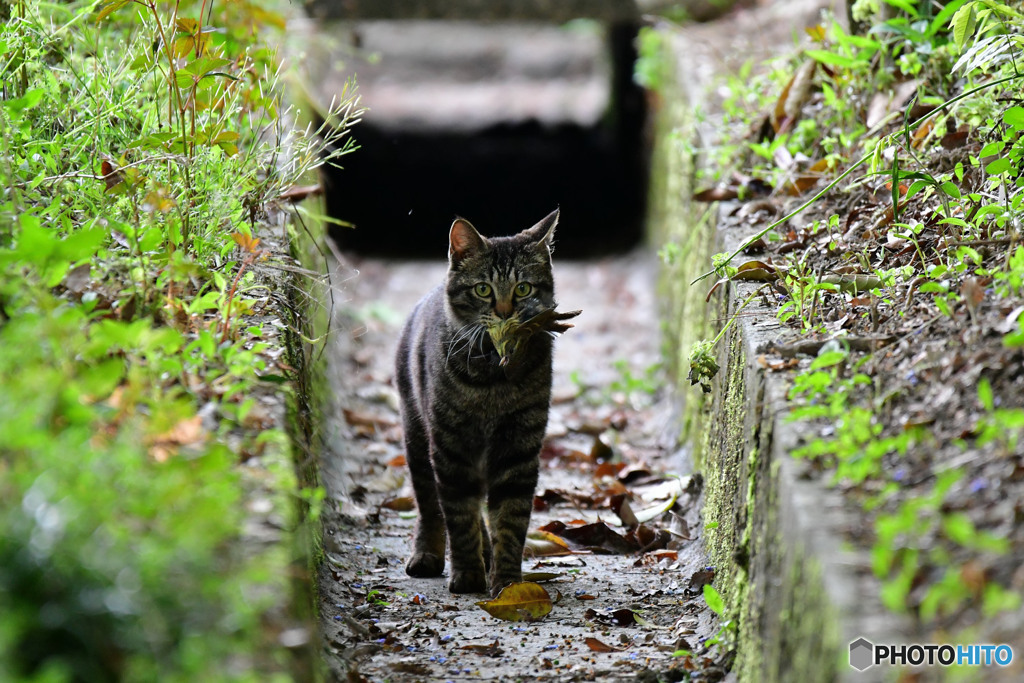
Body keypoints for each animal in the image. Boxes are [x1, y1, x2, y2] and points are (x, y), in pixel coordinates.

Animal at [395, 210, 565, 593]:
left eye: (523, 288)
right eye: (483, 289)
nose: (503, 312)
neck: (493, 380)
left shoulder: (519, 446)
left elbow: (510, 520)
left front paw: (508, 583)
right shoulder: (451, 447)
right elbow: (459, 515)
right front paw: (469, 574)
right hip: (417, 436)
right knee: (430, 504)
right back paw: (427, 554)